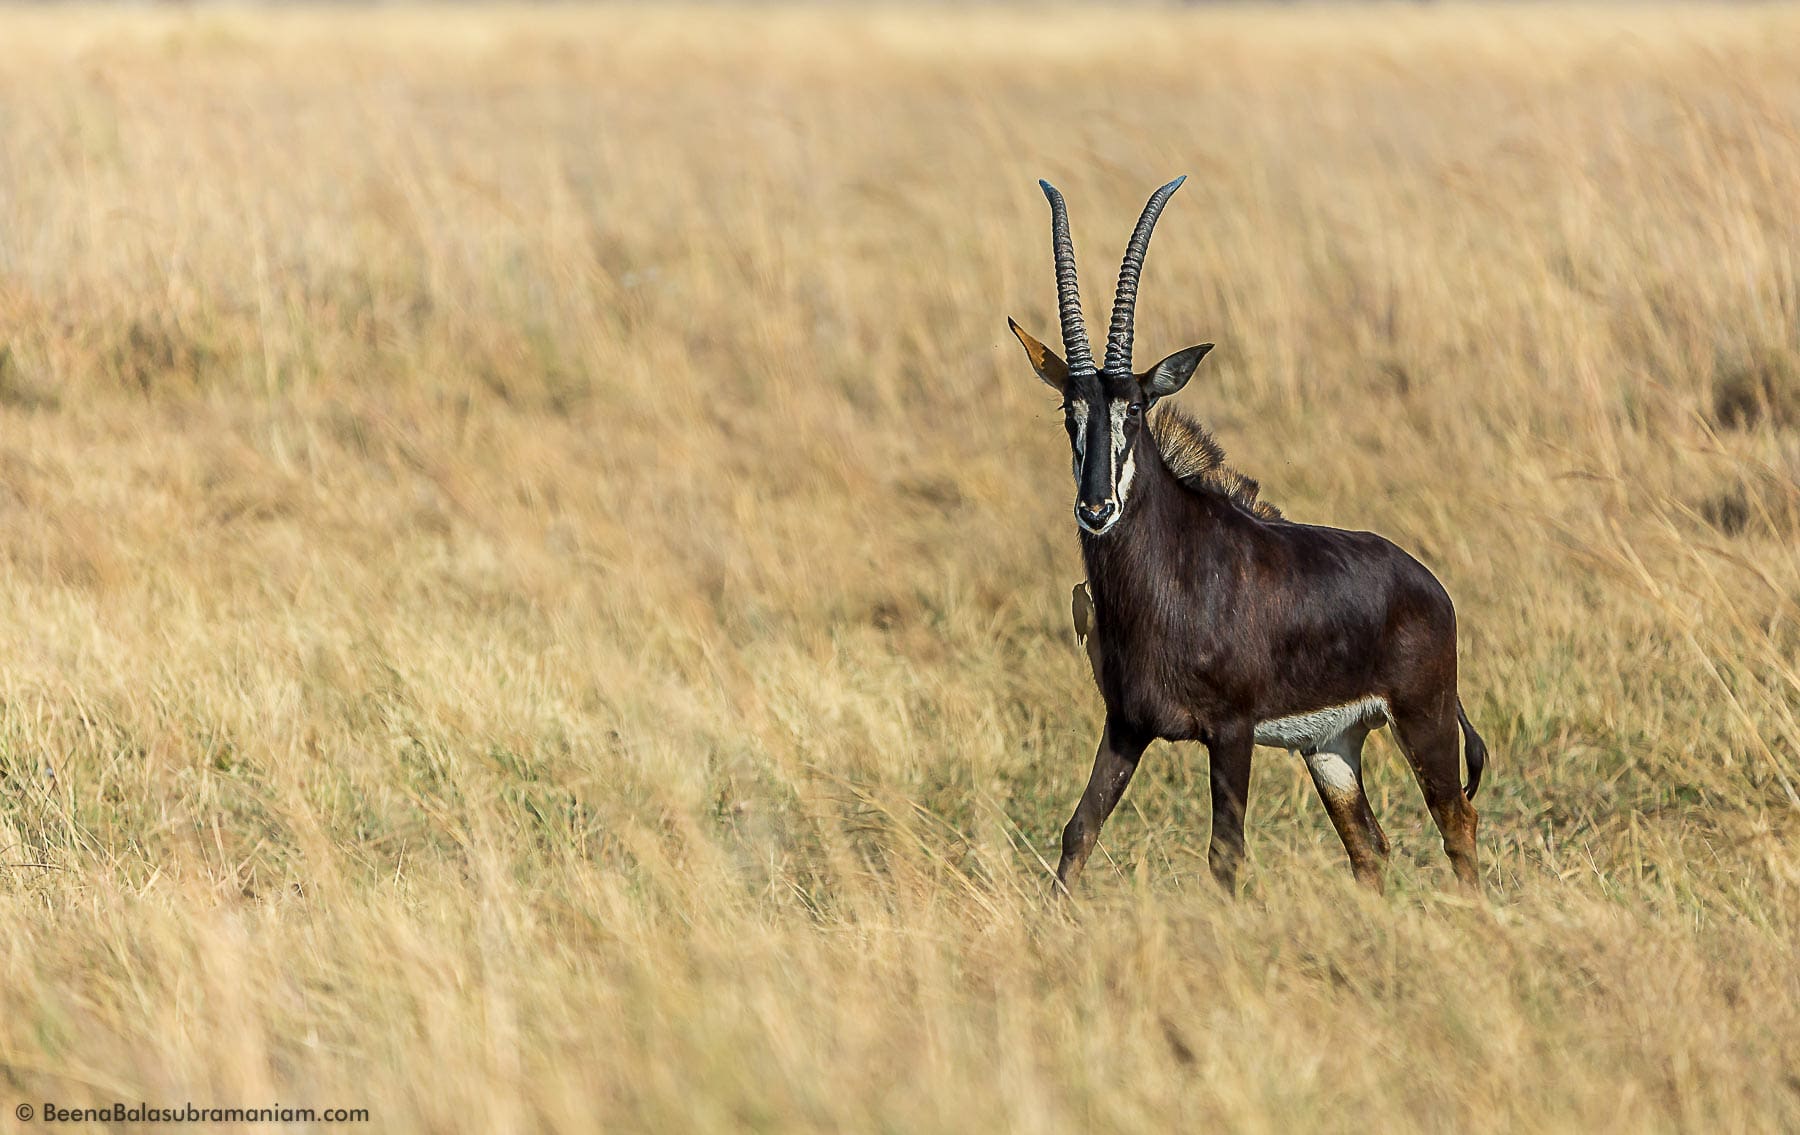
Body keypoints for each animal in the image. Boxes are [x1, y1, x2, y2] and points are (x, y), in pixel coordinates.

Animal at [1008, 175, 1483, 895]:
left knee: (1457, 824)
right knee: (1369, 847)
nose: (1095, 508)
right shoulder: (1125, 727)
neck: (1172, 574)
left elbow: (1224, 854)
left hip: (1422, 718)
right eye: (1070, 410)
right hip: (1331, 747)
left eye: (1136, 408)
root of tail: (1430, 587)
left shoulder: (1229, 732)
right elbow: (1078, 831)